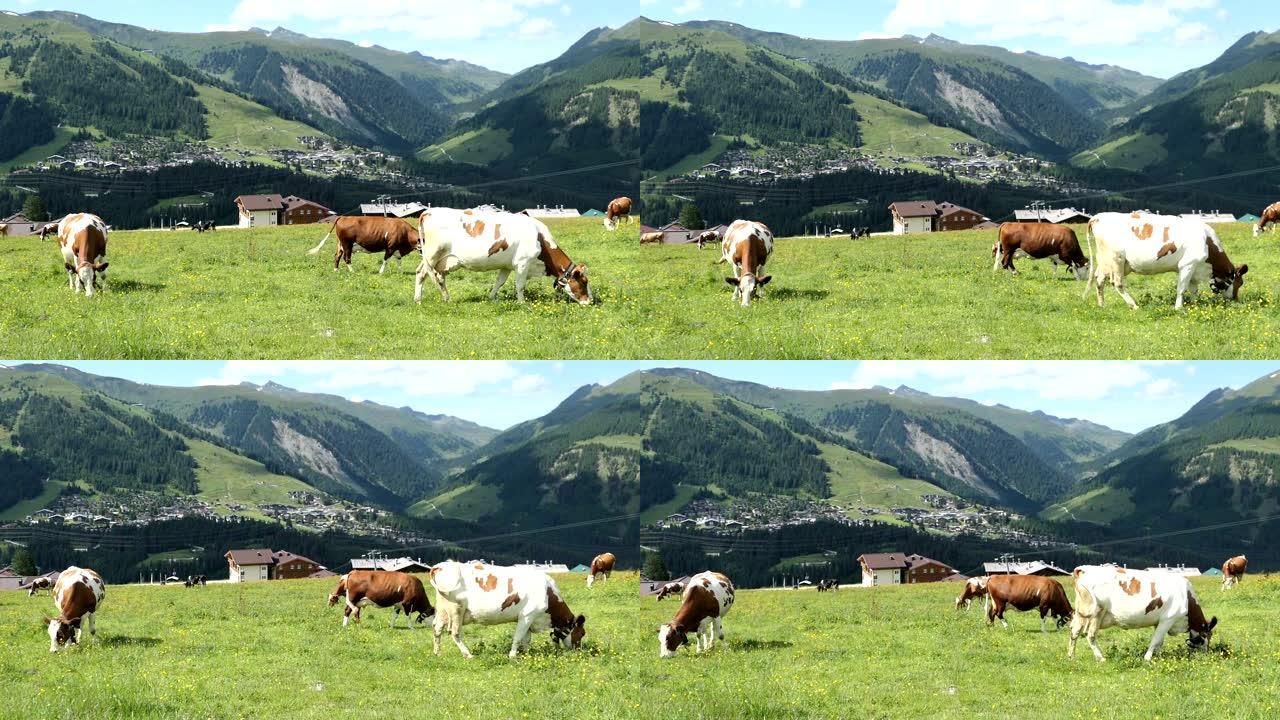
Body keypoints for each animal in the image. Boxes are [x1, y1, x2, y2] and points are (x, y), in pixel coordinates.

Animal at [430, 561, 588, 655]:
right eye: (582, 633)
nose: (579, 651)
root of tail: (442, 565)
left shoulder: (528, 619)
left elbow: (526, 639)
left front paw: (526, 654)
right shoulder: (527, 615)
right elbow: (518, 637)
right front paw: (512, 656)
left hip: (443, 610)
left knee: (437, 628)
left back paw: (437, 653)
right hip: (456, 609)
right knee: (455, 633)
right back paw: (468, 654)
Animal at [1064, 563, 1213, 661]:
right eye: (1206, 635)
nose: (1206, 654)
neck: (1187, 597)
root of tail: (1084, 569)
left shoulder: (1159, 622)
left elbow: (1160, 642)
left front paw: (1158, 656)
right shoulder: (1168, 619)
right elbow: (1156, 640)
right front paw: (1147, 658)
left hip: (1081, 613)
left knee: (1074, 632)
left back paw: (1071, 656)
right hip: (1096, 613)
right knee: (1090, 635)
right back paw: (1101, 658)